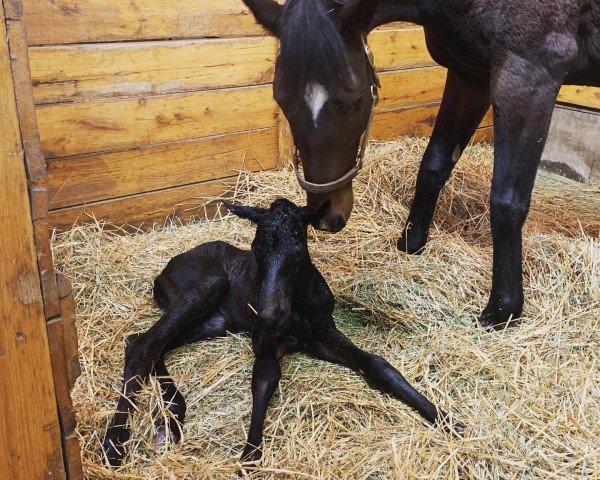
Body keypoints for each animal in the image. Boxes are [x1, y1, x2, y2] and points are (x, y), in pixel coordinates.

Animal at [101, 198, 464, 464]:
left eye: (299, 249)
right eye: (255, 250)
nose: (270, 315)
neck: (298, 307)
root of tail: (161, 274)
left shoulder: (323, 333)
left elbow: (378, 364)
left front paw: (447, 420)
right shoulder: (266, 341)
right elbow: (265, 376)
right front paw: (249, 457)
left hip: (218, 321)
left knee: (145, 341)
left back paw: (171, 416)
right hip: (207, 286)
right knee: (146, 344)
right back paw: (116, 443)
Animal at [240, 0, 600, 330]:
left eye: (354, 100)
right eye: (281, 99)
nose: (328, 216)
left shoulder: (527, 79)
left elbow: (507, 201)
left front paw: (504, 309)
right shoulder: (469, 75)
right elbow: (434, 165)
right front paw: (411, 243)